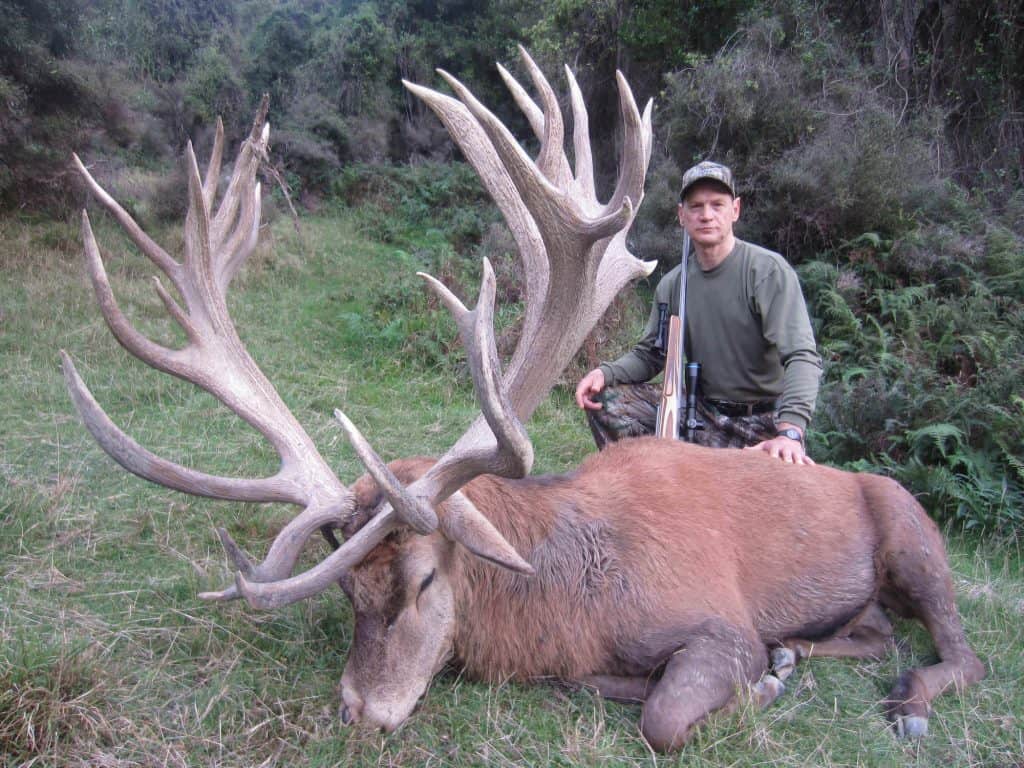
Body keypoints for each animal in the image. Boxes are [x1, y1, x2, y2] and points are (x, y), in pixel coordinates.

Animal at [61, 48, 984, 752]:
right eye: (348, 592)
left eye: (424, 583)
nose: (360, 712)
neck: (569, 602)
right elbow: (597, 689)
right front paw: (759, 671)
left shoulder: (719, 620)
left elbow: (666, 715)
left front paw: (760, 685)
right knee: (873, 632)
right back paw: (812, 654)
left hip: (915, 537)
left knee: (960, 648)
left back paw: (904, 701)